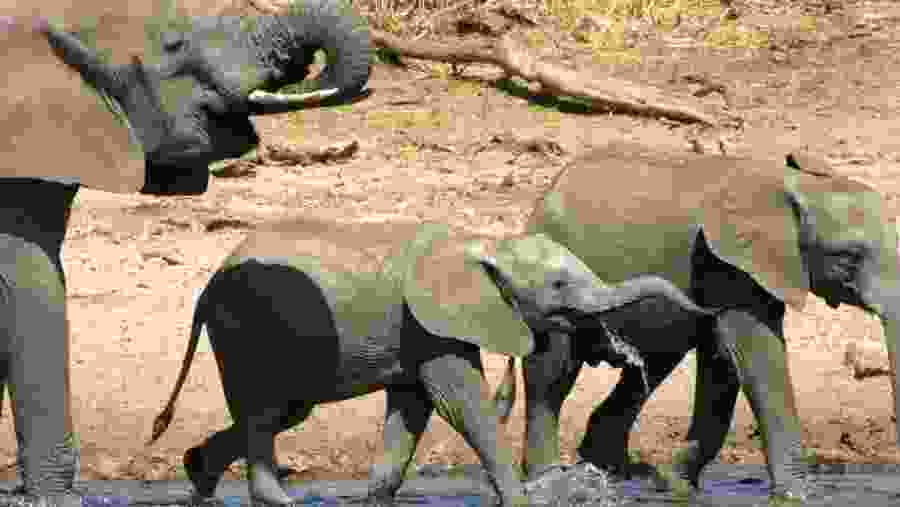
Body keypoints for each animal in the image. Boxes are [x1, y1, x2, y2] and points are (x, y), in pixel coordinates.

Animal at [145, 219, 715, 507]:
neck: (484, 241)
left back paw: (198, 476)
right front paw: (523, 500)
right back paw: (275, 502)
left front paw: (375, 499)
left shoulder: (420, 332)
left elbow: (413, 406)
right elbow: (458, 402)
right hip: (247, 331)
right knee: (265, 411)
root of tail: (205, 287)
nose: (707, 309)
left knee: (281, 411)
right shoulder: (430, 322)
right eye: (558, 284)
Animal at [495, 140, 900, 497]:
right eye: (848, 258)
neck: (788, 185)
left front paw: (676, 487)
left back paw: (616, 473)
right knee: (551, 375)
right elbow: (755, 356)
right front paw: (797, 495)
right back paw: (549, 479)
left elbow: (723, 364)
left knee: (650, 367)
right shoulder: (728, 265)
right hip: (547, 286)